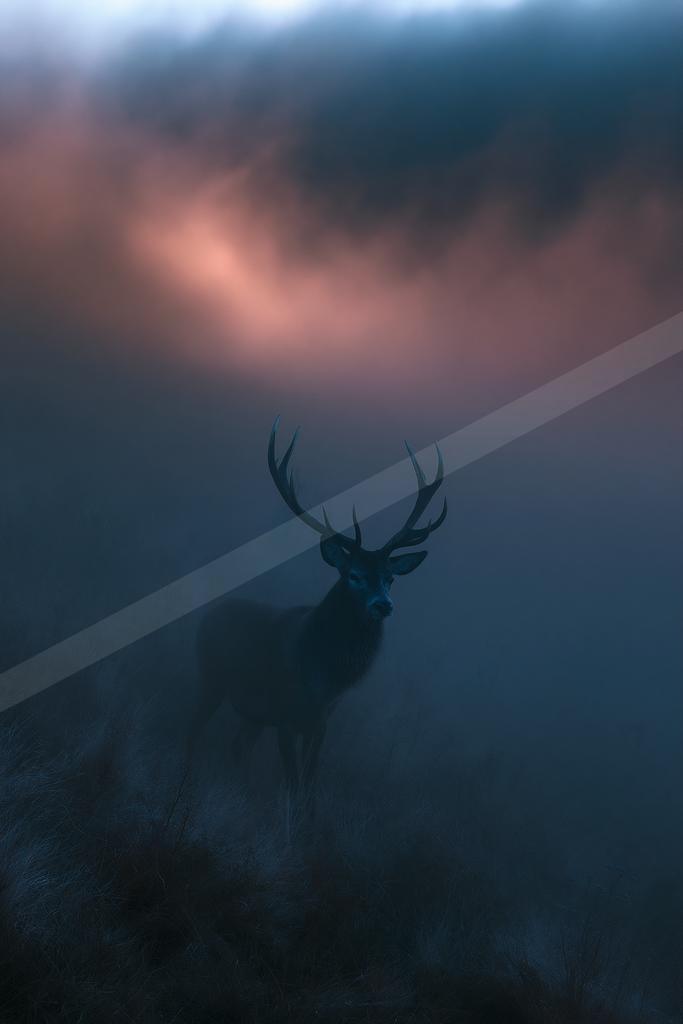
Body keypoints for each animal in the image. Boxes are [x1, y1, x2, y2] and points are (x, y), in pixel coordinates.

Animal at [189, 419, 447, 799]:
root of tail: (207, 616)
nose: (384, 605)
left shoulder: (321, 723)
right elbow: (294, 783)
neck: (323, 679)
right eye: (354, 574)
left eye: (390, 578)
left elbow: (309, 785)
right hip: (211, 677)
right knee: (191, 727)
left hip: (251, 712)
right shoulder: (285, 714)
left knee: (238, 746)